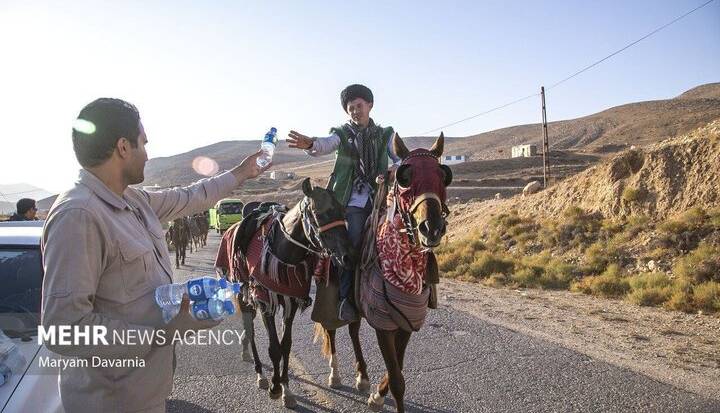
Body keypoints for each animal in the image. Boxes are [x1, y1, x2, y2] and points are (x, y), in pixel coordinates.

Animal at [232, 179, 352, 408]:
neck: (283, 251)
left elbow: (285, 345)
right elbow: (273, 347)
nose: (347, 256)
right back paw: (260, 374)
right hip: (244, 296)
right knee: (250, 331)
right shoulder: (265, 302)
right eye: (319, 213)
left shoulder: (291, 303)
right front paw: (275, 387)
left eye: (343, 210)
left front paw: (286, 389)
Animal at [314, 134, 450, 410]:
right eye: (405, 178)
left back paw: (362, 377)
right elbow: (397, 379)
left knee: (353, 330)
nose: (431, 228)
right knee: (331, 330)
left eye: (443, 176)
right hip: (329, 297)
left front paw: (377, 394)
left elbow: (397, 367)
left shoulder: (407, 322)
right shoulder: (383, 325)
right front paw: (380, 396)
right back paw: (335, 374)